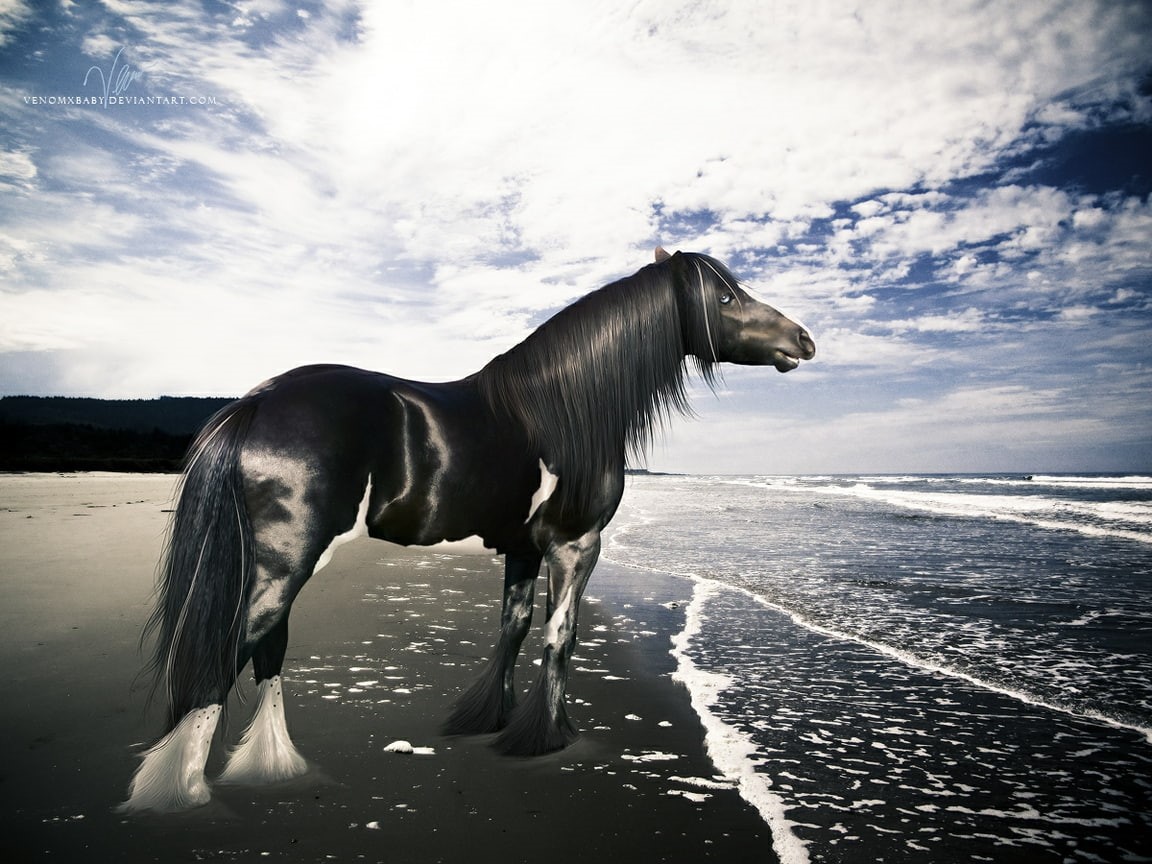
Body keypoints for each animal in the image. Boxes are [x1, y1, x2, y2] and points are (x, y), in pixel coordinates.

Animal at [121, 247, 815, 812]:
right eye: (724, 297)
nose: (804, 340)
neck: (560, 408)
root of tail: (259, 400)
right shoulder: (576, 546)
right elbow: (560, 636)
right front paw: (544, 737)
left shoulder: (522, 550)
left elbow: (512, 628)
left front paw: (489, 719)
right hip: (285, 560)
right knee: (228, 653)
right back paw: (184, 793)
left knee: (266, 652)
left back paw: (270, 768)